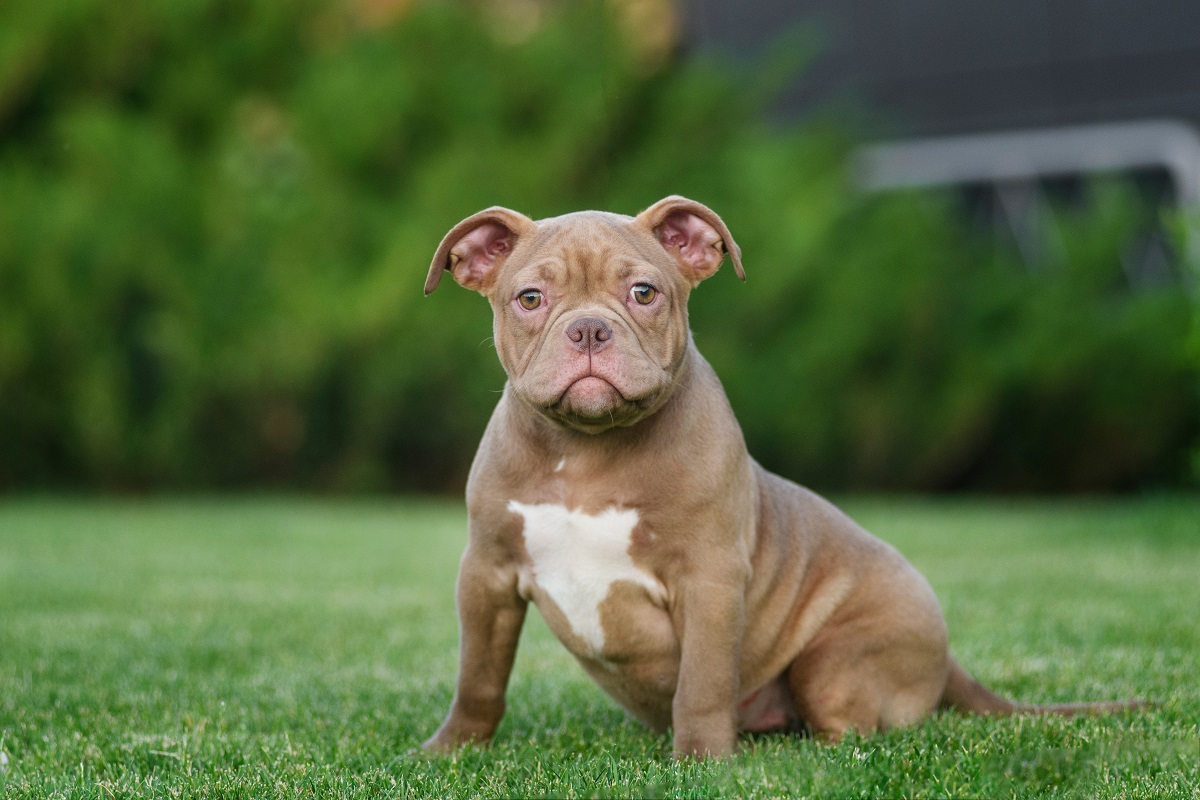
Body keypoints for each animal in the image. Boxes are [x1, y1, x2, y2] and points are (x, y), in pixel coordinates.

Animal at [417, 194, 1137, 758]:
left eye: (644, 293)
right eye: (530, 298)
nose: (590, 329)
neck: (589, 447)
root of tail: (949, 658)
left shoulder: (709, 580)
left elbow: (703, 682)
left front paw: (702, 761)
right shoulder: (486, 575)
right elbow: (478, 677)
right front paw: (450, 751)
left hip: (837, 657)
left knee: (852, 727)